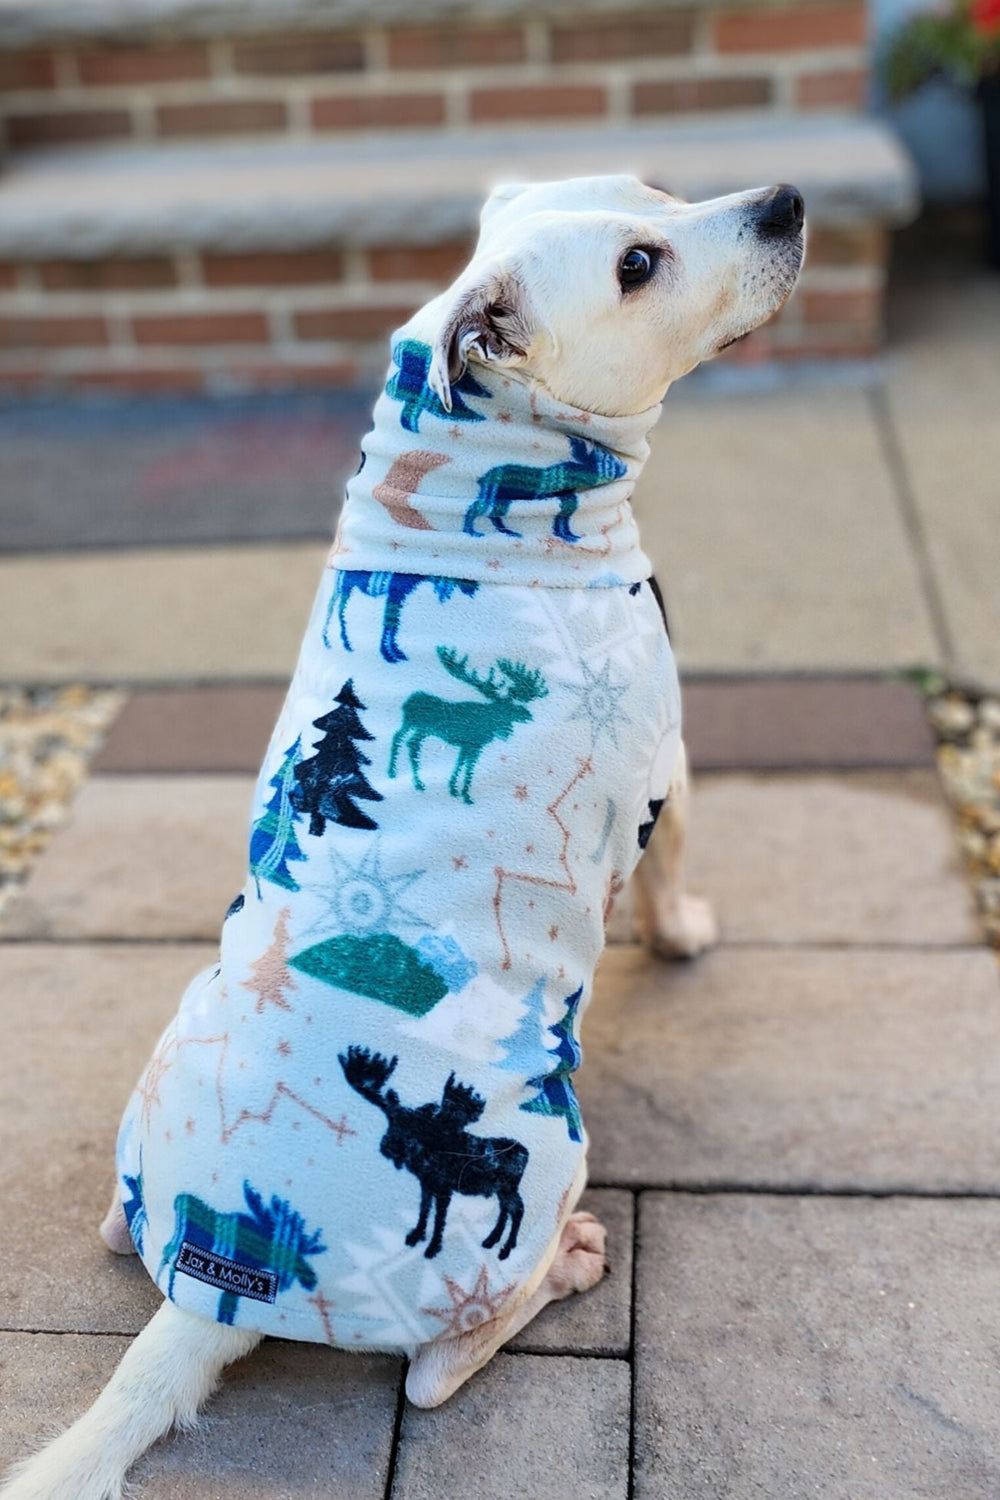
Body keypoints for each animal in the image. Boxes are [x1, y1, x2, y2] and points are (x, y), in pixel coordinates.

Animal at [1, 167, 803, 1500]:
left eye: (654, 185)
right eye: (637, 264)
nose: (787, 199)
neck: (475, 476)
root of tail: (213, 1296)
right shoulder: (670, 767)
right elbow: (675, 865)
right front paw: (685, 932)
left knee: (122, 1227)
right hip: (546, 1152)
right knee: (438, 1368)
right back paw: (570, 1264)